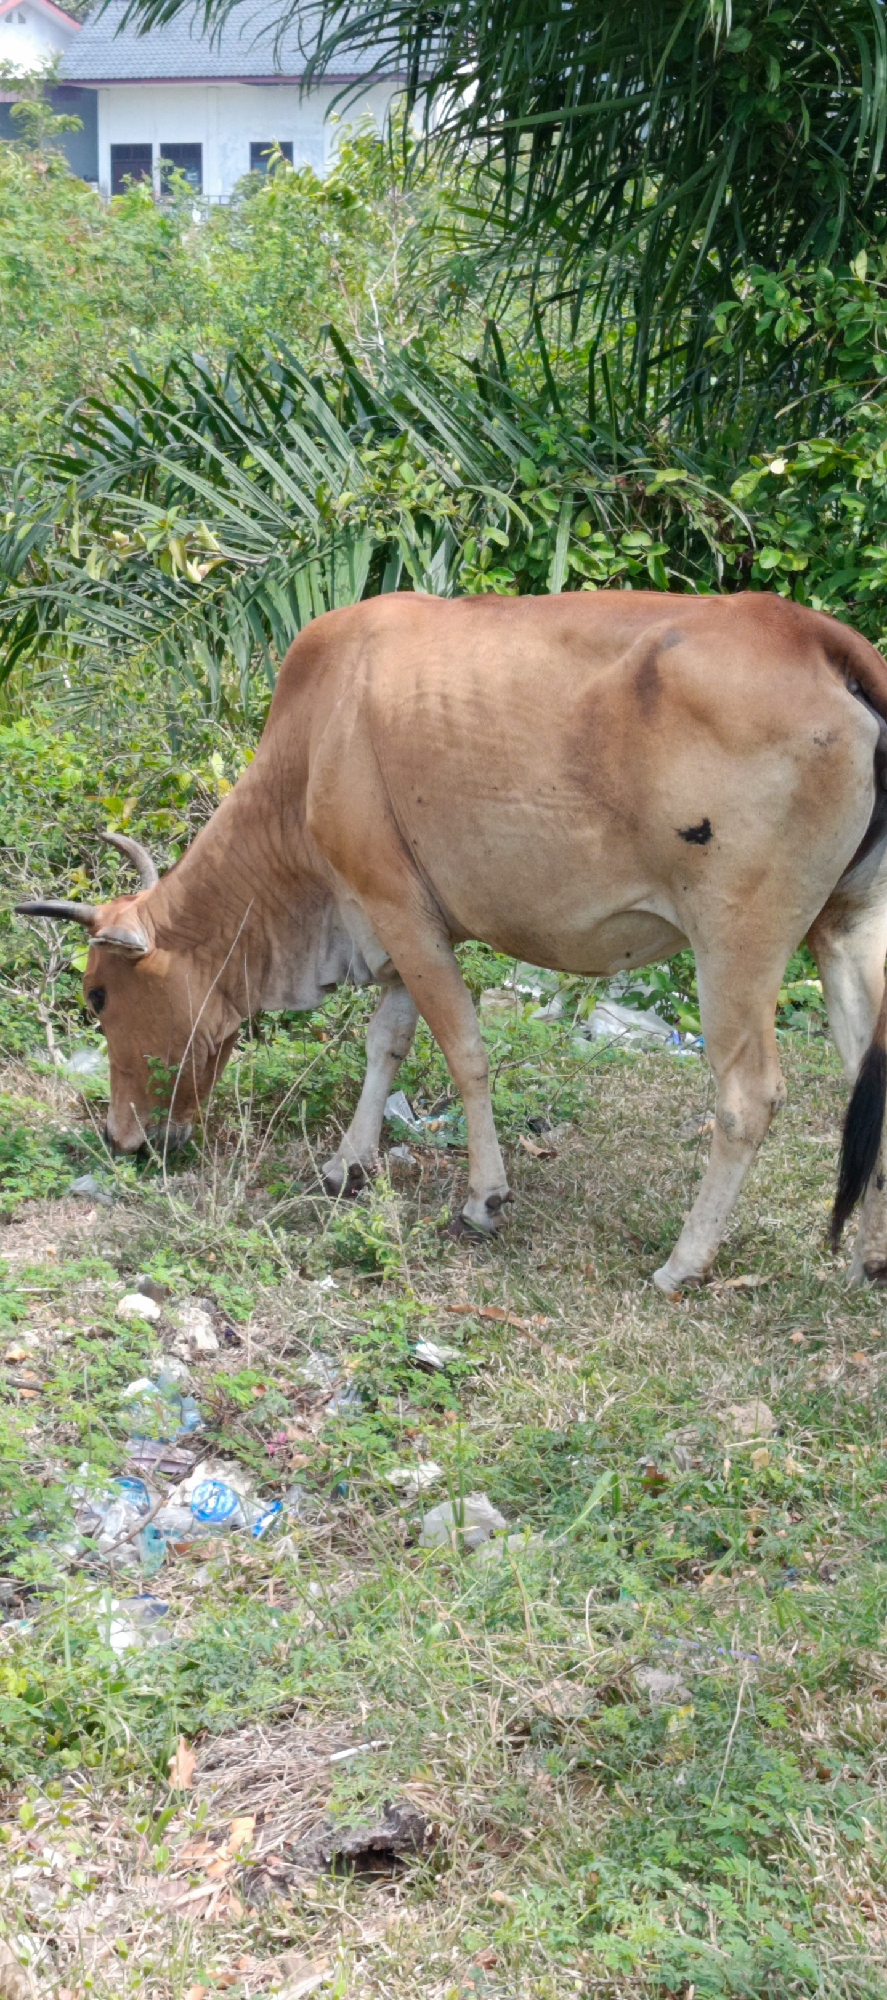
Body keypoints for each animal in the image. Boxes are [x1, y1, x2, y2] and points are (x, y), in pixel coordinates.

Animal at [15, 589, 887, 1292]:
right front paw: (346, 1163)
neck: (314, 741)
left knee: (746, 1097)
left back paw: (683, 1262)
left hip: (735, 938)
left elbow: (463, 1051)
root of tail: (815, 636)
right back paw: (864, 1264)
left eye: (98, 997)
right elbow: (387, 1043)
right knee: (863, 1087)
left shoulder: (398, 908)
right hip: (844, 923)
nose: (121, 1137)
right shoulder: (399, 927)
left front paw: (482, 1197)